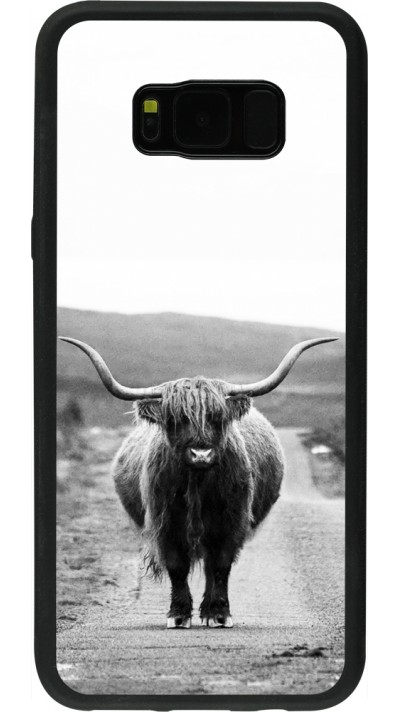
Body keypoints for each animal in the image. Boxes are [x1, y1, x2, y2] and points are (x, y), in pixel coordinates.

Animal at [60, 335, 337, 629]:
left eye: (217, 417)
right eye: (176, 419)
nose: (201, 454)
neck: (198, 484)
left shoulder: (231, 522)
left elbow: (221, 566)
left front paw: (219, 613)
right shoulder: (165, 523)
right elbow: (177, 566)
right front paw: (178, 614)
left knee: (210, 565)